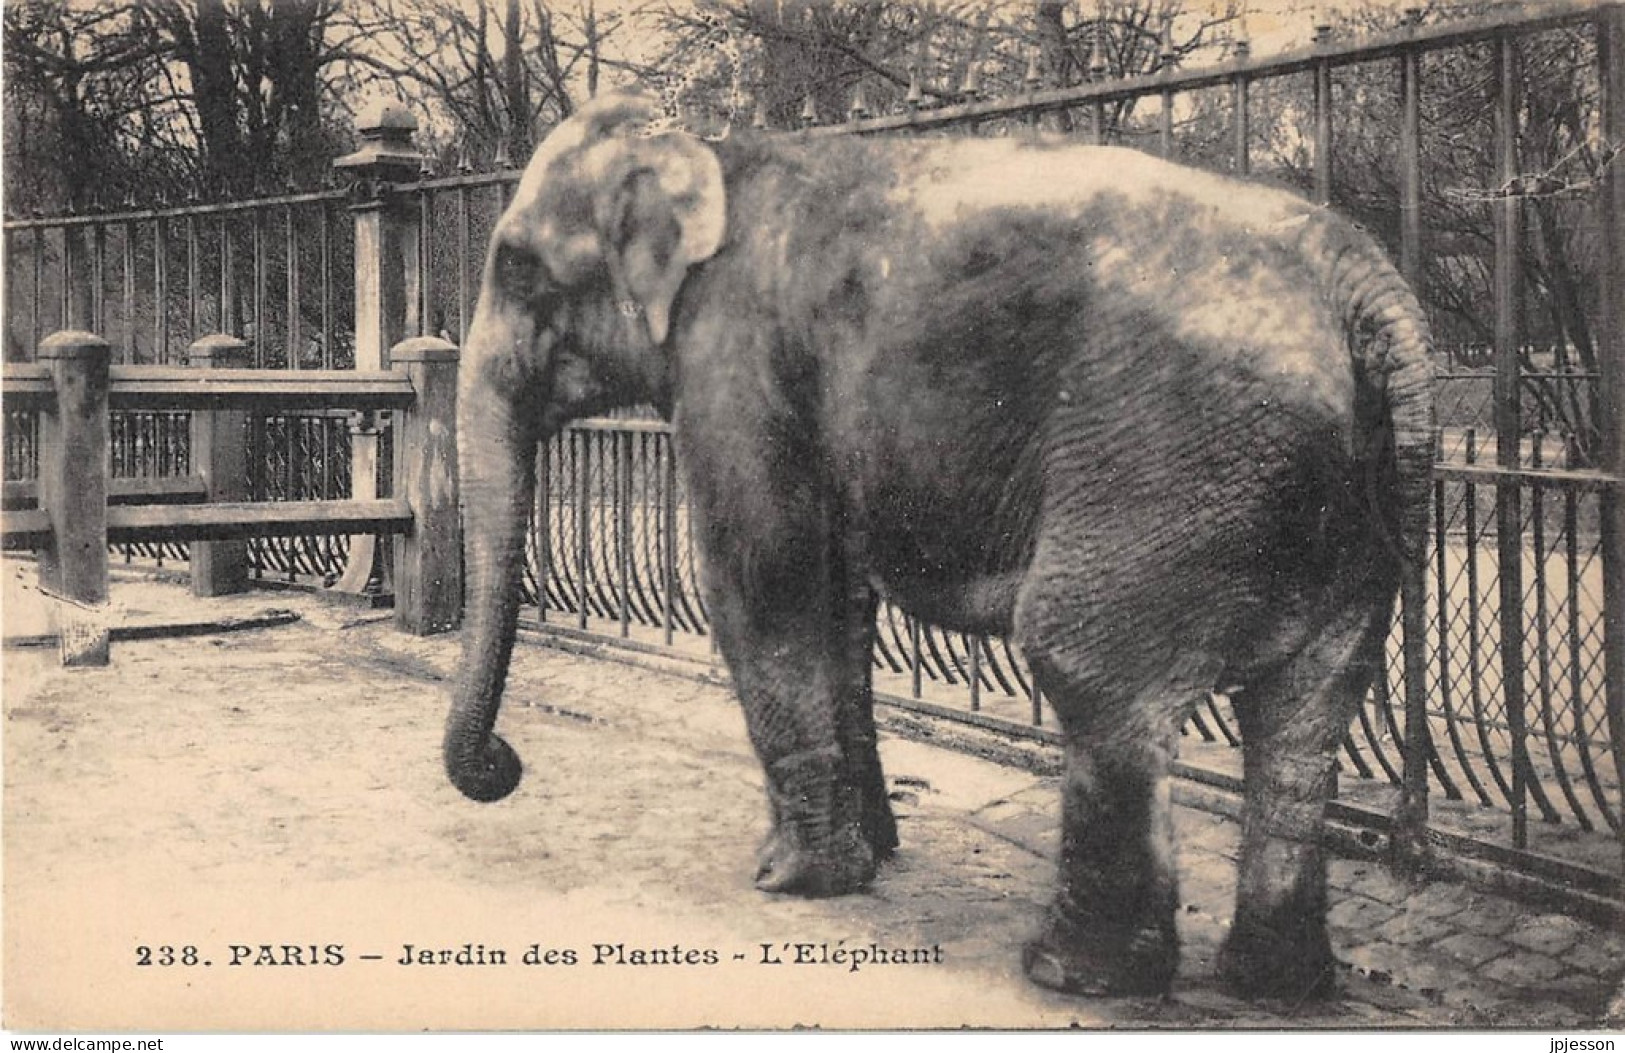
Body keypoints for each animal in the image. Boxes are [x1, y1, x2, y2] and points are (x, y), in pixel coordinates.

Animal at [445, 92, 1436, 1001]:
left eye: (517, 267)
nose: (504, 763)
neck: (711, 147)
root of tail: (1366, 289)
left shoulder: (736, 360)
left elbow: (764, 580)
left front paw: (789, 880)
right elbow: (838, 600)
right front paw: (870, 857)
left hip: (1170, 457)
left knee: (1087, 664)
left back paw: (1072, 972)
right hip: (1344, 509)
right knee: (1309, 708)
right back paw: (1274, 983)